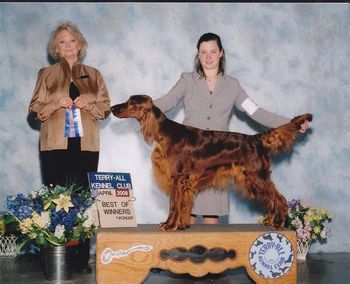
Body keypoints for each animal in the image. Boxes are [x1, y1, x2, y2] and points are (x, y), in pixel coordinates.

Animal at [111, 94, 312, 232]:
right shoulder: (178, 179)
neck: (165, 134)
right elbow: (176, 204)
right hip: (253, 179)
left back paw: (280, 223)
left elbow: (175, 204)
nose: (113, 108)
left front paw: (170, 225)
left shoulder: (178, 177)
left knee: (279, 198)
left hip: (256, 176)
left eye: (130, 101)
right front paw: (175, 224)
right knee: (271, 199)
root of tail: (256, 139)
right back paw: (269, 221)